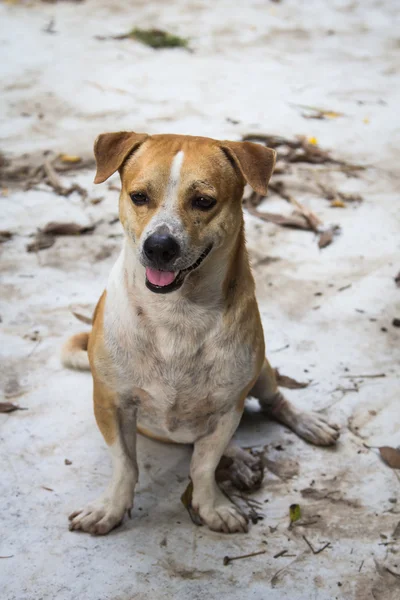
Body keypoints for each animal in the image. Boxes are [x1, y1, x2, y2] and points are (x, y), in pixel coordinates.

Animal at [63, 132, 340, 536]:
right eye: (139, 196)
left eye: (204, 201)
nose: (159, 246)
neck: (178, 313)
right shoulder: (111, 403)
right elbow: (125, 465)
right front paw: (110, 508)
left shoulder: (227, 407)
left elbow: (204, 467)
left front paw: (211, 507)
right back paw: (241, 460)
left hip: (261, 373)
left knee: (273, 402)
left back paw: (307, 424)